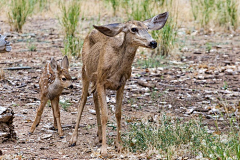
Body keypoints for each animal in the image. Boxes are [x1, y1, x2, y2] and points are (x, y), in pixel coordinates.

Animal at [69, 11, 169, 157]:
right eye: (134, 29)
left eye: (147, 28)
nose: (153, 42)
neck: (116, 67)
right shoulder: (101, 81)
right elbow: (105, 115)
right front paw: (104, 150)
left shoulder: (121, 84)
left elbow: (118, 113)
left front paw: (119, 145)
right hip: (85, 72)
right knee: (82, 99)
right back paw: (73, 139)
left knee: (93, 96)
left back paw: (99, 136)